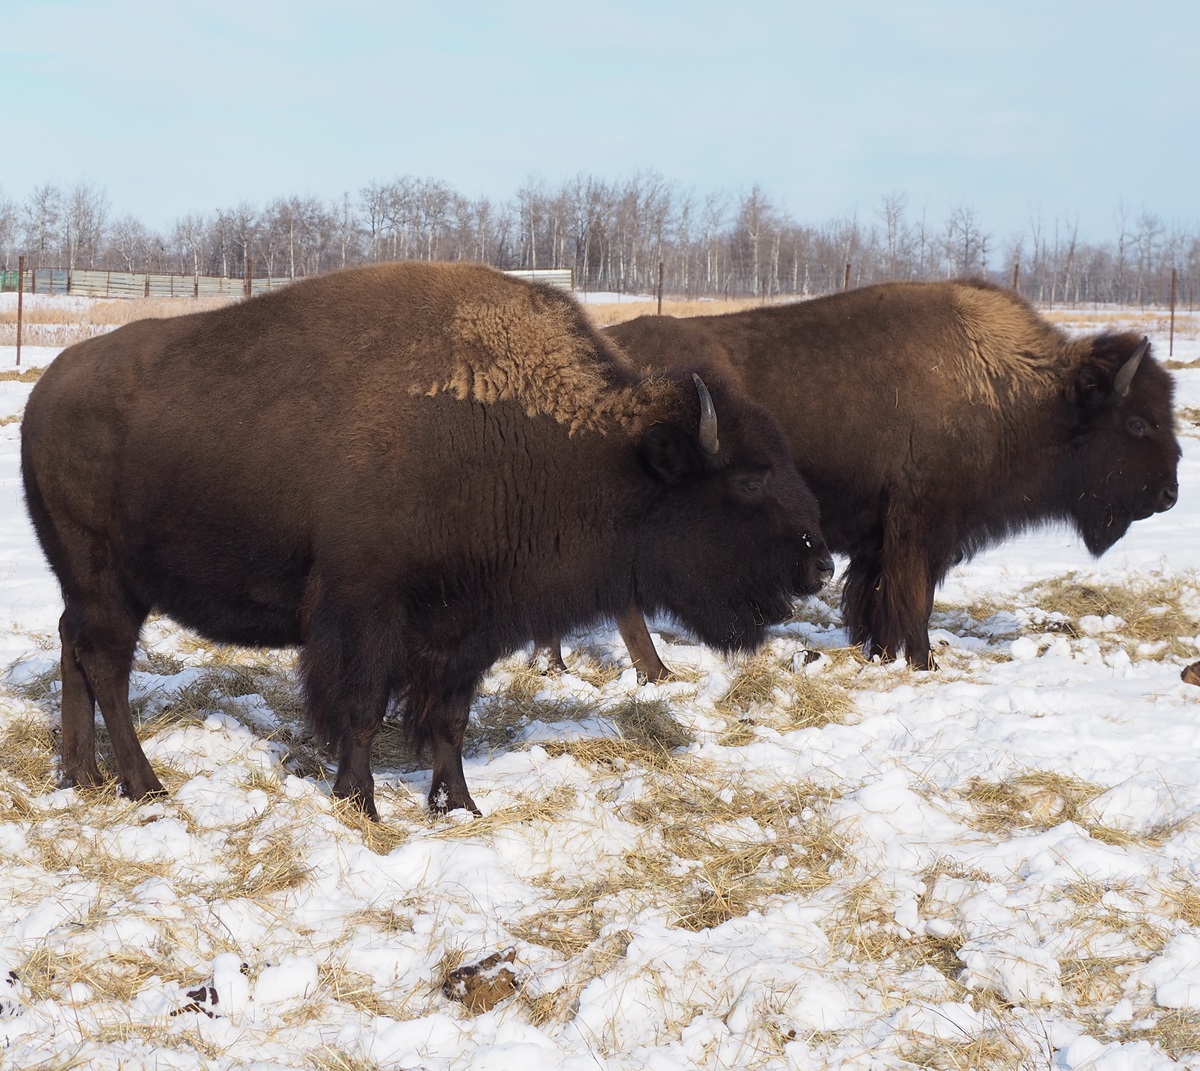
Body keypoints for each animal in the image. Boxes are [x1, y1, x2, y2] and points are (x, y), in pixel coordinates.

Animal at [21, 261, 834, 817]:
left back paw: (82, 775)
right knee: (106, 665)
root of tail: (45, 393)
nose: (819, 562)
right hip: (107, 580)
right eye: (749, 479)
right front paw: (361, 801)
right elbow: (361, 709)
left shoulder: (467, 629)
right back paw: (144, 784)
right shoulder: (366, 612)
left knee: (74, 651)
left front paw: (459, 804)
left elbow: (448, 718)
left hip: (93, 585)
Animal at [572, 279, 1179, 676]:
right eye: (1137, 421)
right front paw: (921, 660)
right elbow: (913, 598)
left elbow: (878, 596)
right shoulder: (921, 527)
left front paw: (883, 654)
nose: (1171, 494)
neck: (1009, 385)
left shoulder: (883, 537)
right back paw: (653, 671)